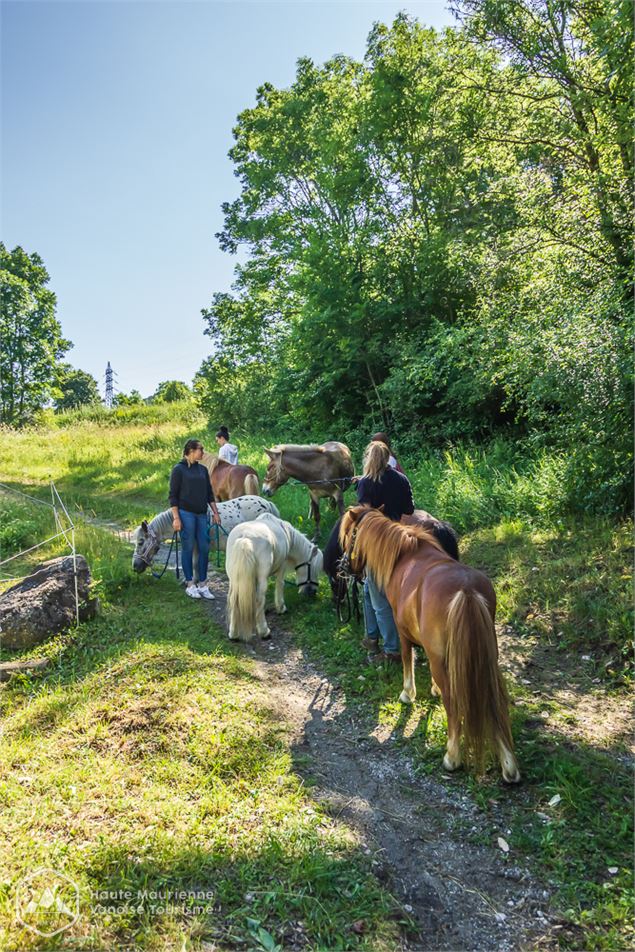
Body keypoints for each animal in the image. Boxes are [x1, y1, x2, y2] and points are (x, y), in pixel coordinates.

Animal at [225, 512, 322, 640]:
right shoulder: (282, 567)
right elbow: (280, 584)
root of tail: (245, 538)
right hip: (261, 577)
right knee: (259, 599)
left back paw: (233, 634)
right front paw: (281, 608)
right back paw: (264, 631)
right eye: (314, 569)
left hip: (234, 579)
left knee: (233, 600)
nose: (312, 592)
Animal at [340, 506, 520, 780]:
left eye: (350, 534)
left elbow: (407, 659)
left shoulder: (402, 630)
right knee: (497, 701)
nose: (345, 566)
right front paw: (433, 689)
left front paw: (407, 693)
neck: (404, 555)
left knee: (453, 704)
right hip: (487, 660)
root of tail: (467, 591)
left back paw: (452, 757)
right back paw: (509, 765)